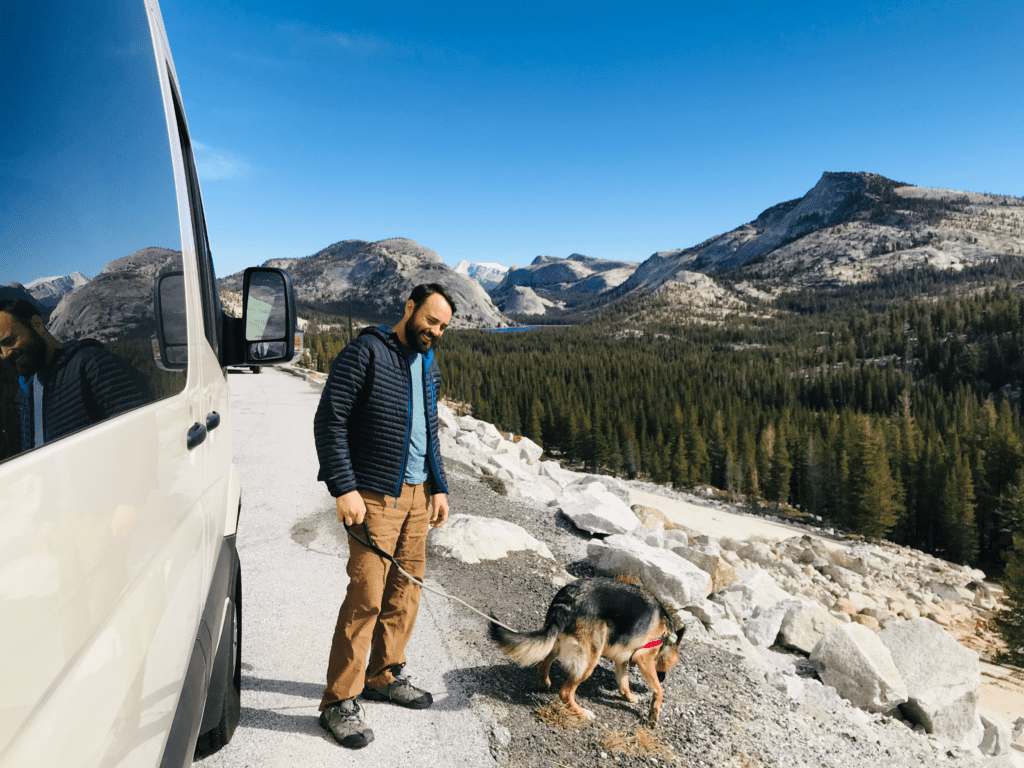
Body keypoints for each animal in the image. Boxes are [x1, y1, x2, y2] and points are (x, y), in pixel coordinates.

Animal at [487, 581, 679, 724]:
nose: (663, 677)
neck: (666, 634)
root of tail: (568, 600)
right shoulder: (644, 657)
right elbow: (659, 690)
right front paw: (654, 713)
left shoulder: (622, 659)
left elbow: (624, 682)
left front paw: (629, 696)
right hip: (590, 659)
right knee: (565, 692)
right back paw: (582, 712)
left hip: (559, 641)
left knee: (544, 662)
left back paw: (545, 682)